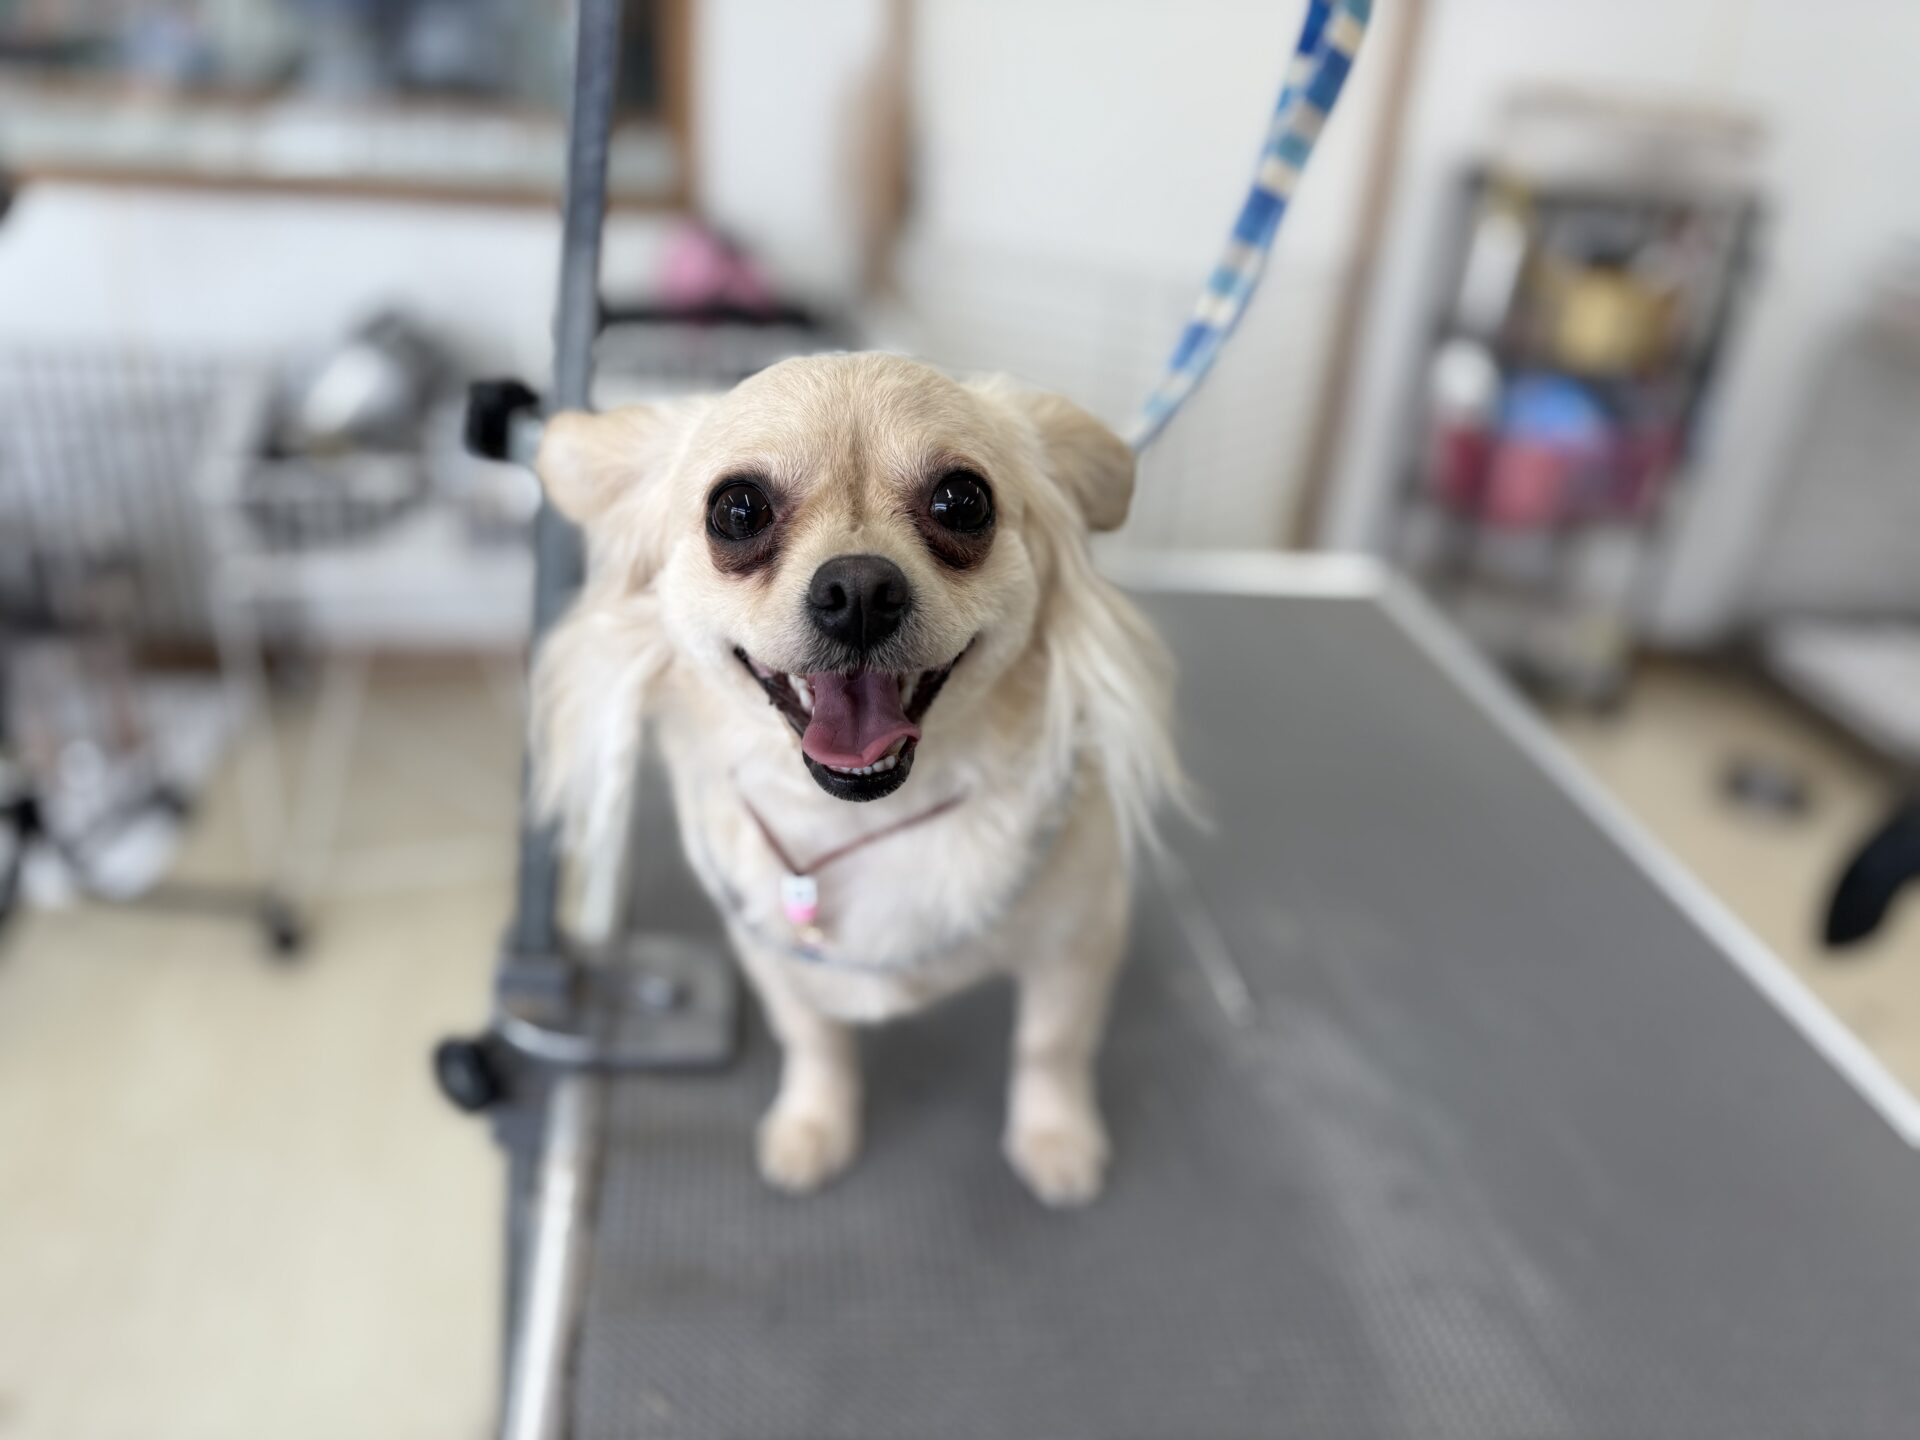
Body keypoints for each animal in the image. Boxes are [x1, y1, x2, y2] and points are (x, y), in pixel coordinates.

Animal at [530, 352, 1180, 1206]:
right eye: (736, 510)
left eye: (962, 501)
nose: (860, 589)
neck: (862, 821)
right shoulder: (775, 957)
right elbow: (814, 1039)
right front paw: (815, 1125)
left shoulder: (1080, 942)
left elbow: (1051, 1045)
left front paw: (1055, 1137)